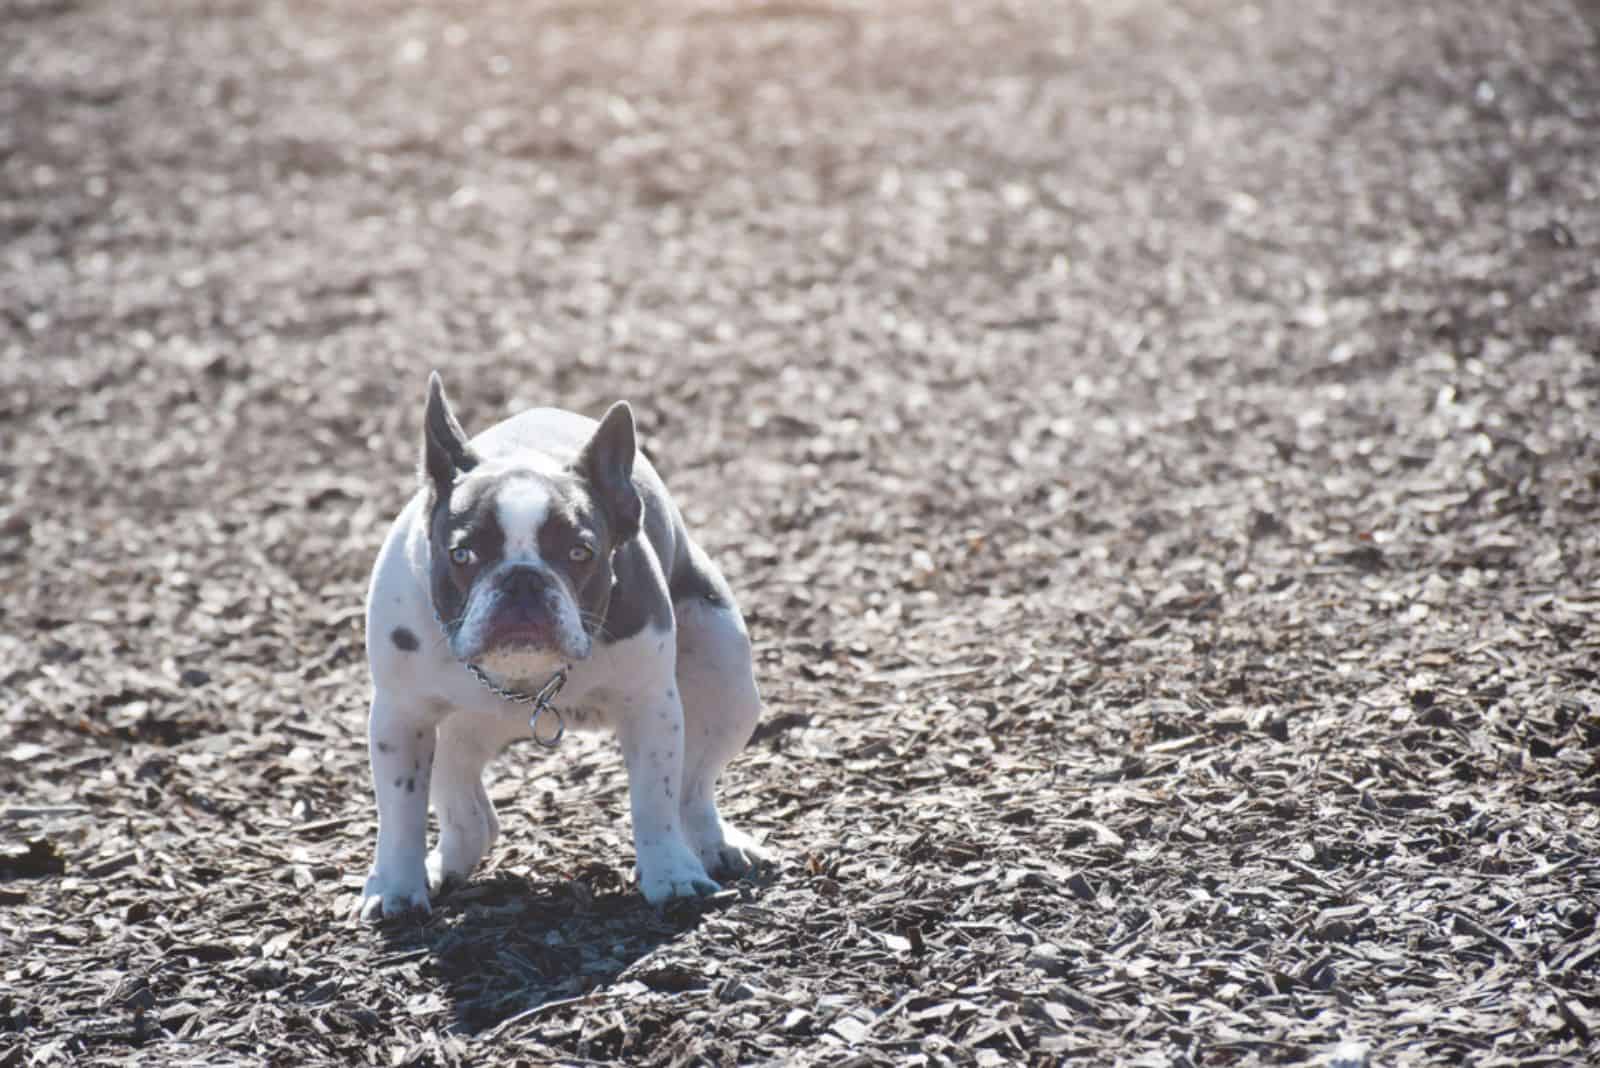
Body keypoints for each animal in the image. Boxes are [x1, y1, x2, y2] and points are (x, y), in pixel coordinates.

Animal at [358, 374, 768, 920]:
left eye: (580, 552)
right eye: (462, 555)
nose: (522, 580)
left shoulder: (651, 707)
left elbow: (654, 797)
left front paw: (670, 875)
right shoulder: (401, 716)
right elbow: (400, 806)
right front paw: (396, 889)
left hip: (728, 682)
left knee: (692, 788)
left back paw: (713, 846)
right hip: (455, 724)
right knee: (462, 796)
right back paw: (444, 866)